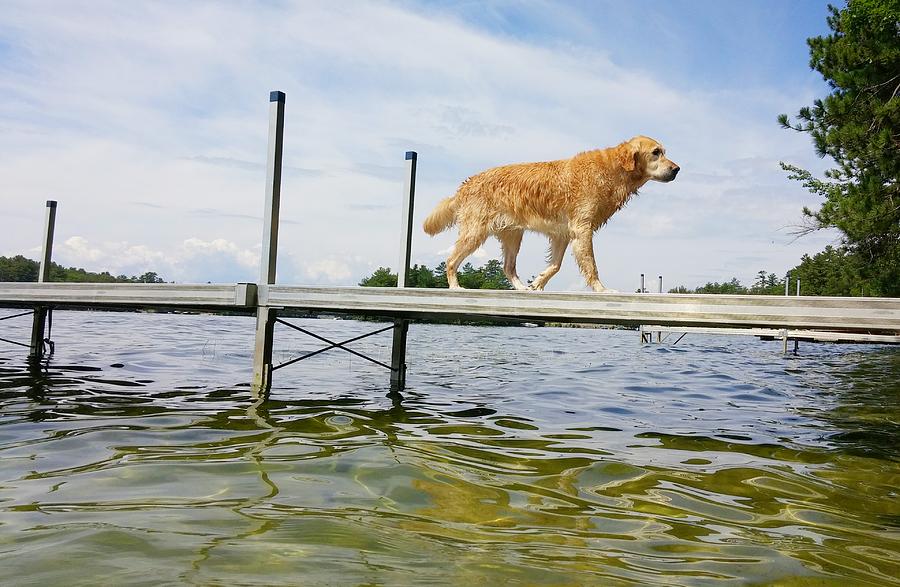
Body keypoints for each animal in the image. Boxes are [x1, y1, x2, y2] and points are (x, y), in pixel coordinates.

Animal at [426, 138, 680, 294]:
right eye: (656, 152)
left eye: (664, 152)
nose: (677, 169)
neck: (613, 171)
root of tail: (465, 185)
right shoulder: (582, 229)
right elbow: (592, 266)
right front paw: (602, 289)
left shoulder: (563, 234)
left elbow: (555, 265)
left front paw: (537, 283)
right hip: (475, 232)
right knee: (450, 260)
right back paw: (455, 286)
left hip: (512, 235)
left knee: (508, 267)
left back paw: (521, 288)